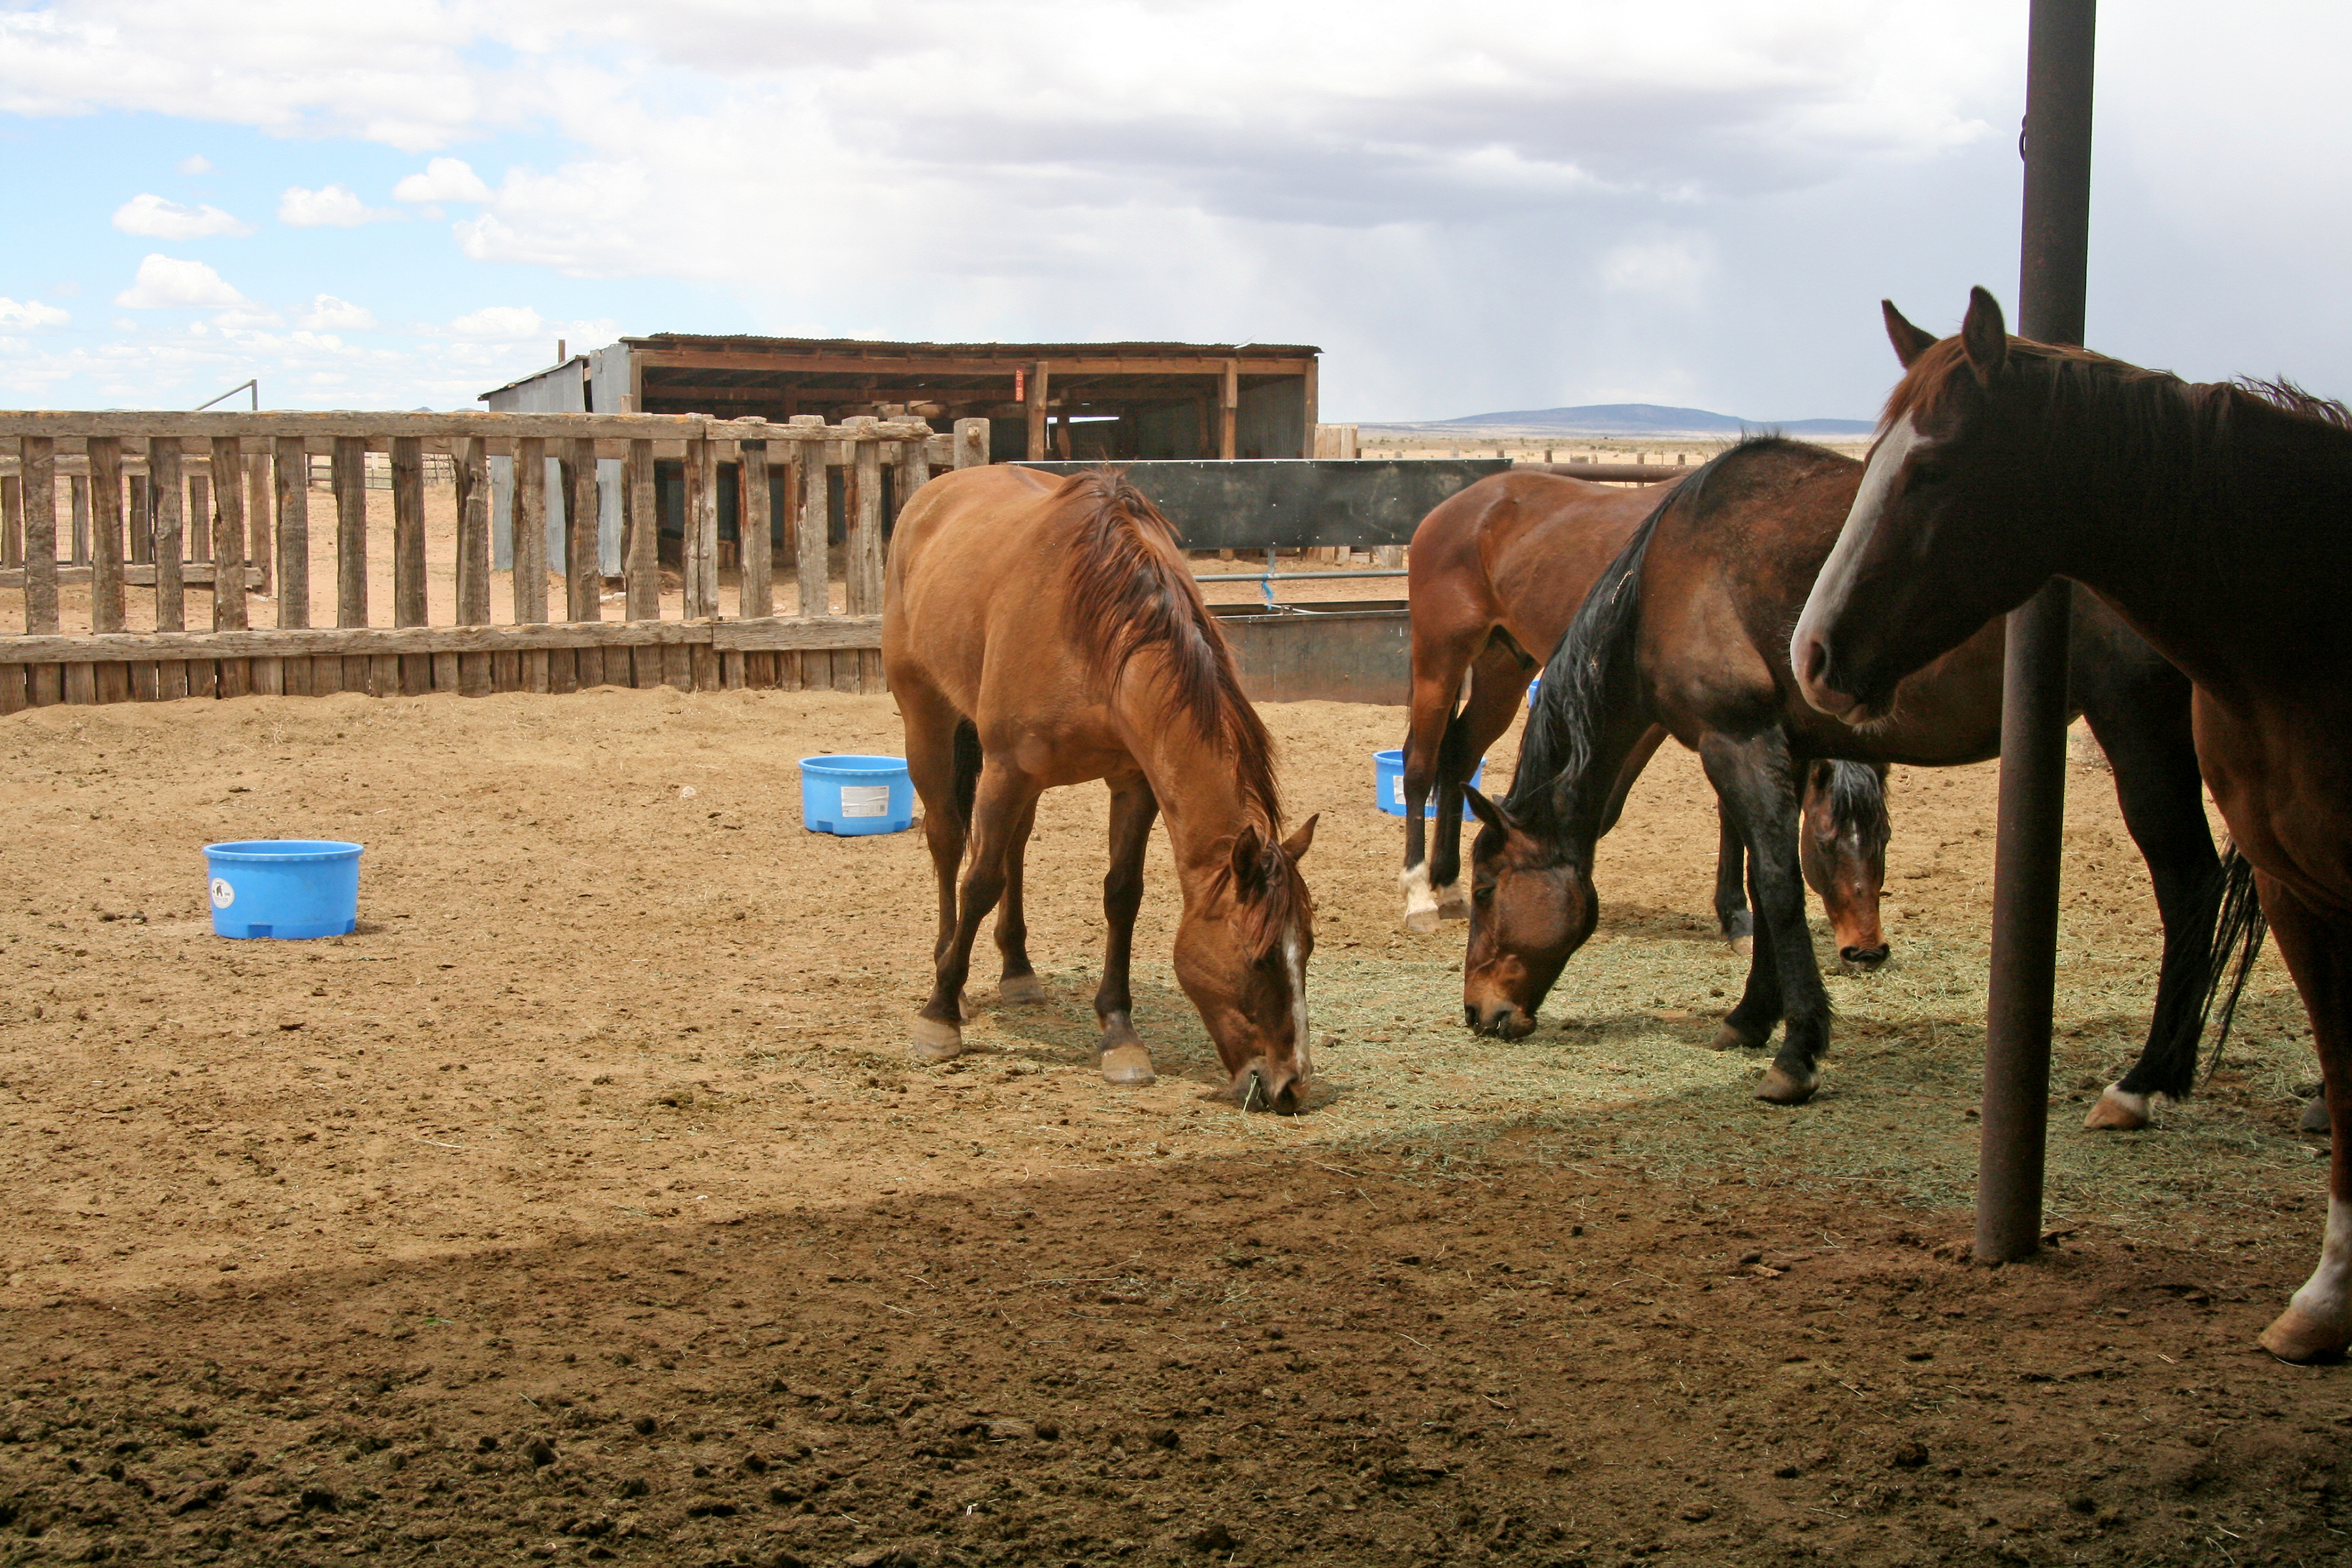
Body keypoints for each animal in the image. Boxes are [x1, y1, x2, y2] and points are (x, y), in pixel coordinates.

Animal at [883, 465, 1319, 1113]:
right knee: (948, 843)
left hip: (1025, 780)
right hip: (930, 720)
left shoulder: (1133, 780)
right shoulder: (1006, 768)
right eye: (1259, 957)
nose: (1290, 1085)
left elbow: (1122, 895)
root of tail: (930, 495)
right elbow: (978, 882)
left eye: (1307, 948)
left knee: (1015, 848)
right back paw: (950, 980)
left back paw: (1018, 970)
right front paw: (939, 1019)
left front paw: (1120, 1034)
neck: (1099, 636)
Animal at [1398, 469, 1891, 971]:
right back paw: (1420, 896)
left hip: (1503, 668)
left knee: (1460, 755)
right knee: (1419, 766)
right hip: (1440, 659)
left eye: (1885, 837)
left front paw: (1739, 919)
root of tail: (1455, 507)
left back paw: (1450, 886)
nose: (1866, 951)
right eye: (1825, 841)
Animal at [1463, 433, 2259, 1121]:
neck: (1669, 574)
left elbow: (1778, 888)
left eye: (1484, 890)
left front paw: (1797, 1054)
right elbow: (1767, 882)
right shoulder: (1788, 747)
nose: (1477, 1011)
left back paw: (2145, 1080)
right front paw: (1752, 1017)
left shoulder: (1736, 742)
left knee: (2190, 885)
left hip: (2136, 727)